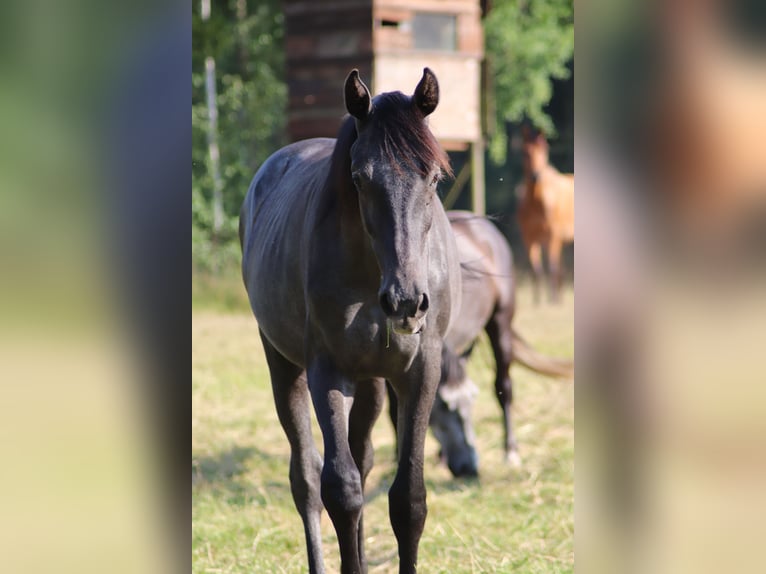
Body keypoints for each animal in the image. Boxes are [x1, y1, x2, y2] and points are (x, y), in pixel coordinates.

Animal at [242, 71, 462, 574]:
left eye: (434, 177)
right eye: (360, 179)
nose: (406, 302)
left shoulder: (421, 372)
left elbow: (408, 499)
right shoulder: (328, 372)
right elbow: (340, 491)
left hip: (372, 384)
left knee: (363, 460)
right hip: (283, 365)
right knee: (306, 478)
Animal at [390, 214, 576, 480]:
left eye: (473, 398)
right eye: (444, 405)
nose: (469, 468)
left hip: (500, 324)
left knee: (504, 387)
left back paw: (510, 451)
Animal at [520, 127, 572, 306]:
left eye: (543, 151)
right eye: (525, 152)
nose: (535, 176)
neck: (537, 204)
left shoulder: (553, 237)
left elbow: (552, 267)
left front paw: (553, 299)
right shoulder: (529, 238)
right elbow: (536, 269)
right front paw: (537, 301)